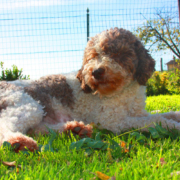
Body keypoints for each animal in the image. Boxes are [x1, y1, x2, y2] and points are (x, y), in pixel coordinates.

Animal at [0, 27, 180, 152]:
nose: (96, 71)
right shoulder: (113, 120)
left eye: (117, 53)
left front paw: (175, 116)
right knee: (6, 127)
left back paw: (73, 130)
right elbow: (155, 120)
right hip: (27, 105)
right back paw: (18, 141)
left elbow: (163, 114)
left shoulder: (138, 112)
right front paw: (174, 126)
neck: (122, 92)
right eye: (92, 56)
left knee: (38, 129)